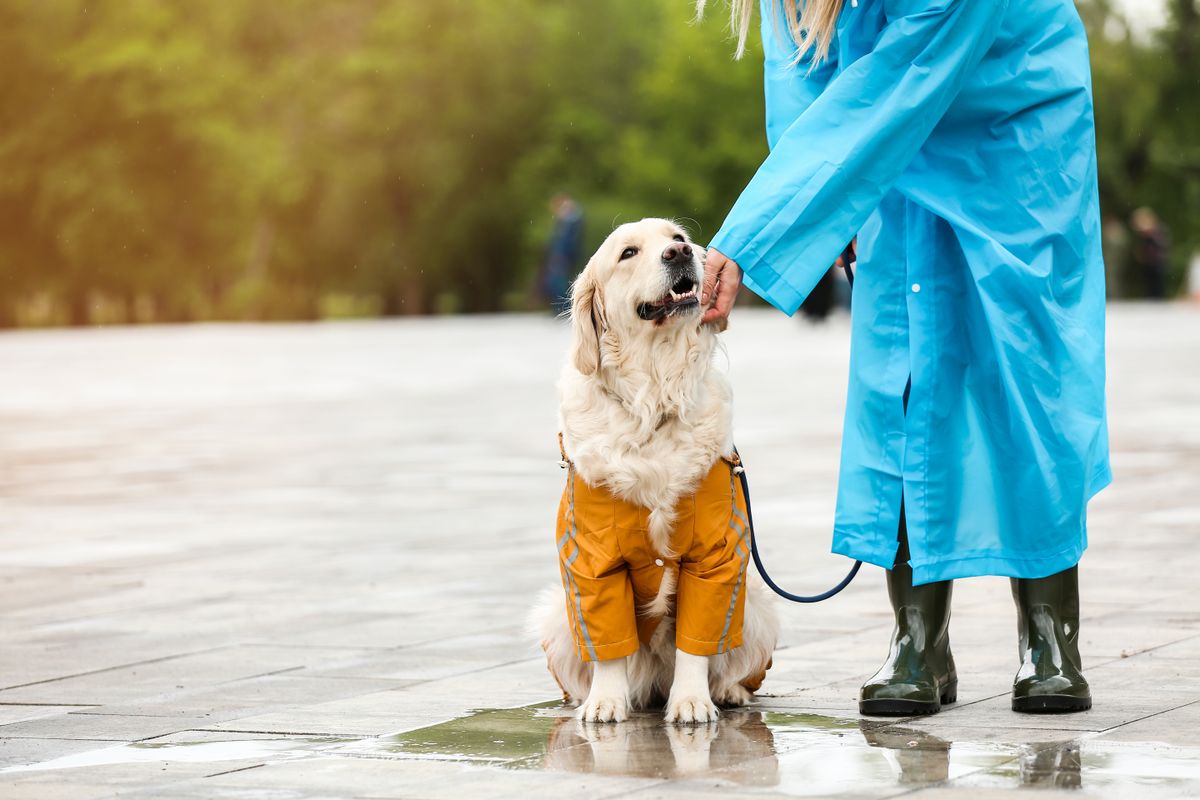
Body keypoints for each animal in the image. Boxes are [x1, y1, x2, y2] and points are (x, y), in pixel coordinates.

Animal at [528, 219, 777, 724]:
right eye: (628, 253)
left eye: (677, 236)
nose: (679, 253)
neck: (654, 398)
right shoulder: (591, 561)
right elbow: (609, 645)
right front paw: (605, 701)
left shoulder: (717, 555)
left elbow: (695, 644)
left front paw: (692, 701)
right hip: (556, 618)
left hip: (760, 607)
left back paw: (729, 692)